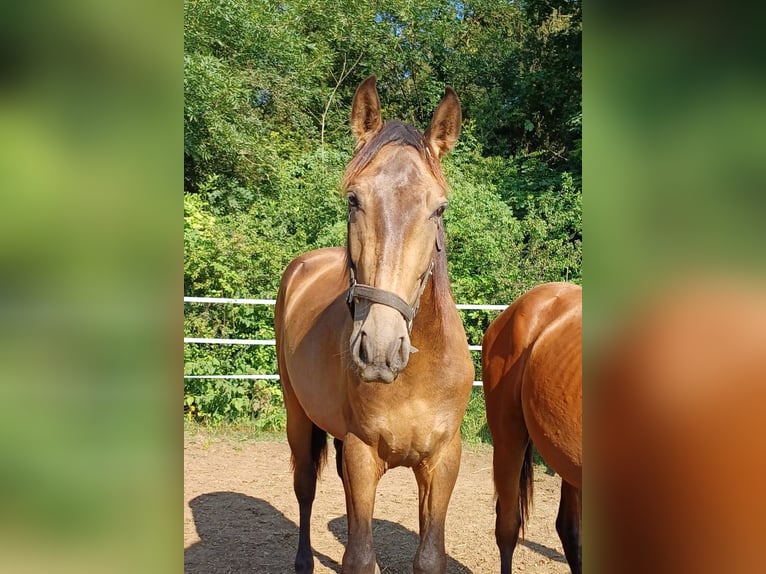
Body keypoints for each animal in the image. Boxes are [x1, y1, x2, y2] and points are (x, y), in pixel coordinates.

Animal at [276, 76, 476, 574]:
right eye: (354, 199)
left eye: (439, 209)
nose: (381, 351)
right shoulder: (363, 454)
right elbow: (361, 558)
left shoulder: (443, 461)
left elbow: (428, 557)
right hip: (298, 417)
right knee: (305, 487)